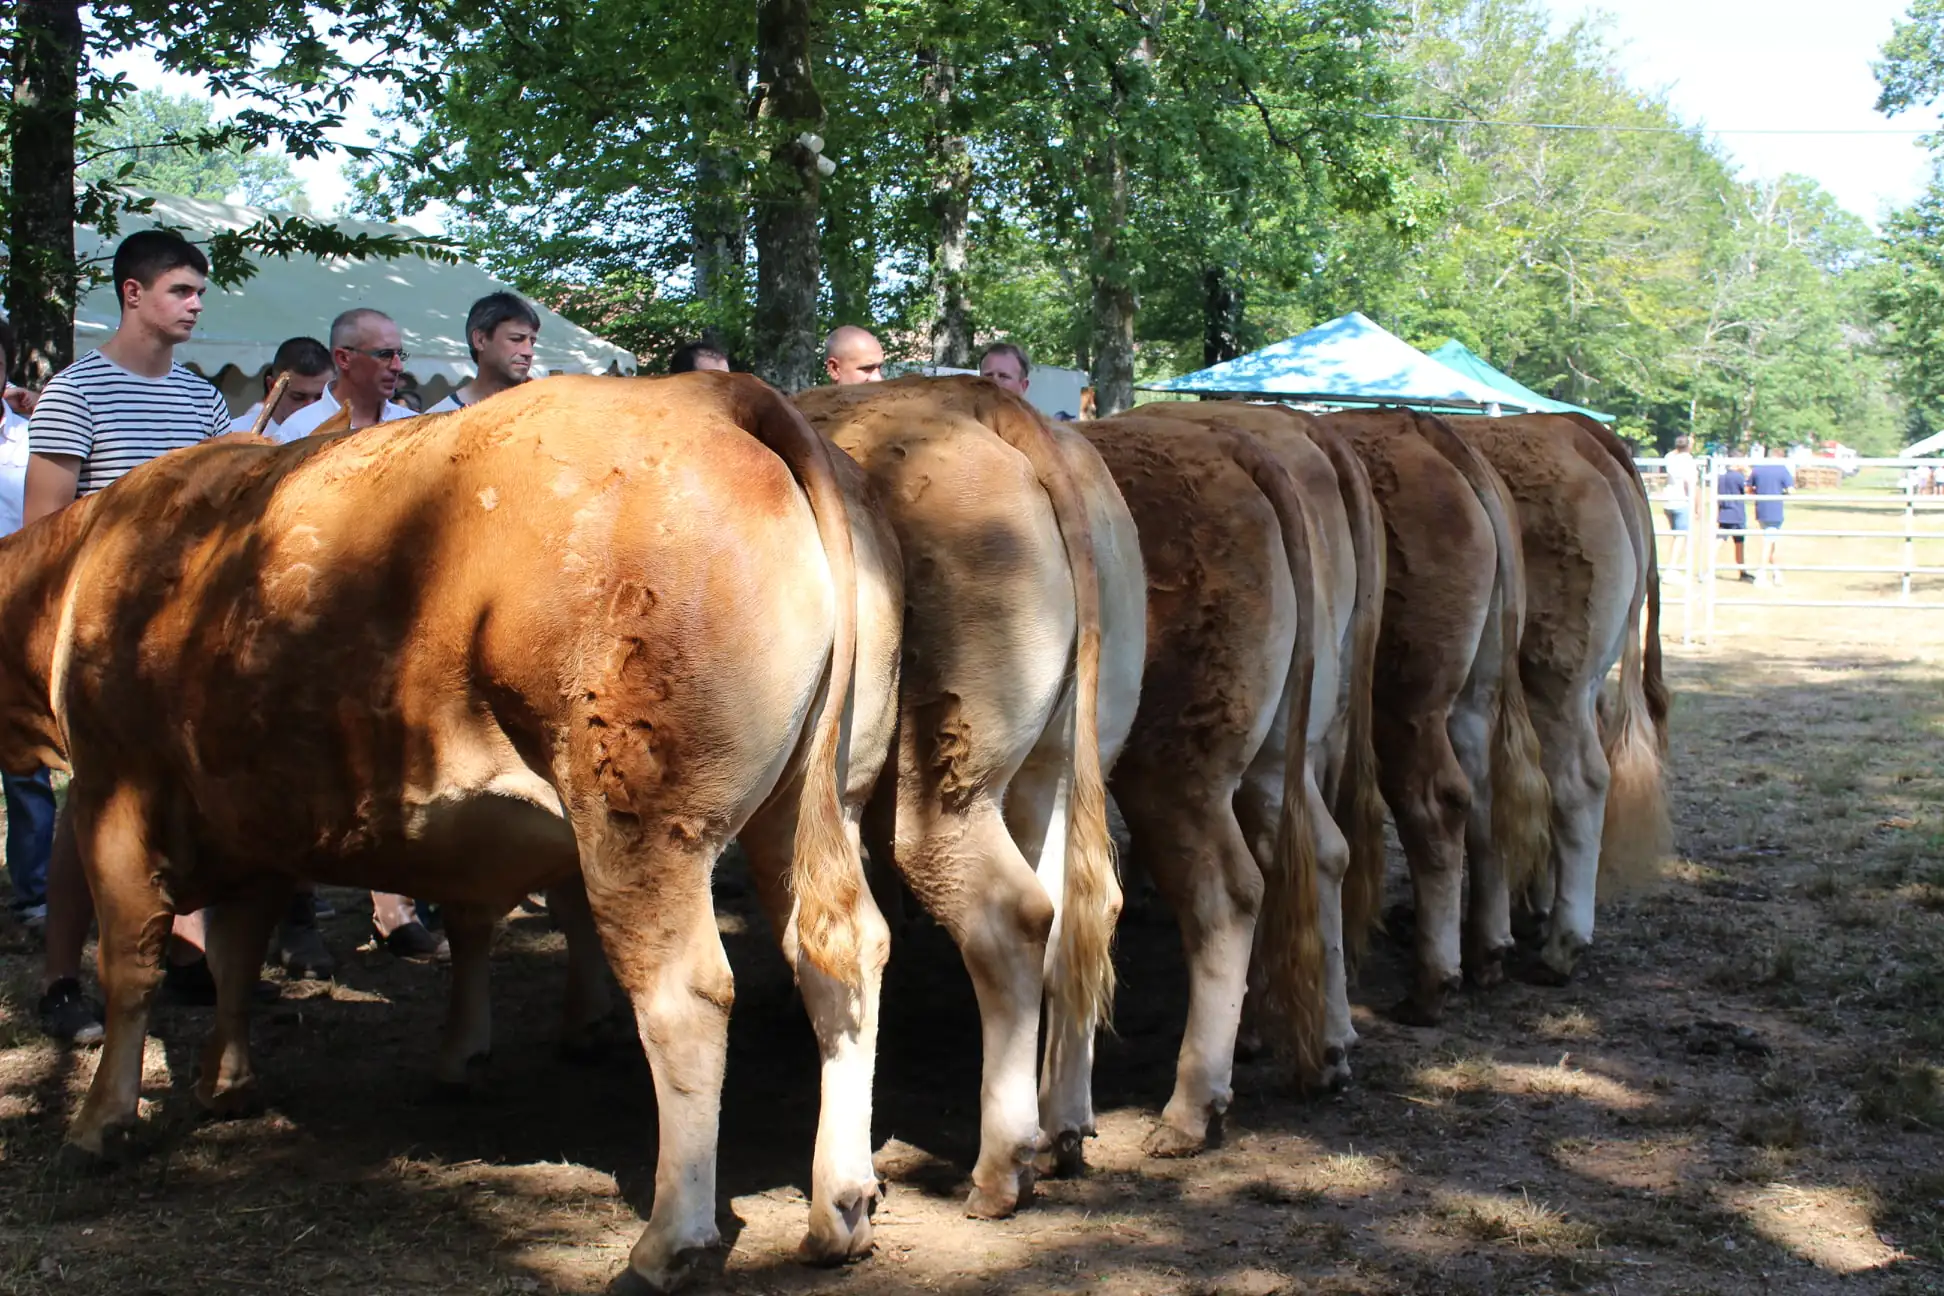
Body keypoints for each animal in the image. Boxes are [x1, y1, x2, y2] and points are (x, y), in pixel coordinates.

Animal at [0, 375, 882, 1296]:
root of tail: (711, 392)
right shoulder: (255, 820)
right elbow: (237, 955)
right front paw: (227, 1083)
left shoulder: (111, 791)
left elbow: (130, 964)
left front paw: (99, 1122)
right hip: (814, 803)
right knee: (841, 950)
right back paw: (840, 1206)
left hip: (641, 825)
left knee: (688, 997)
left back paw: (668, 1242)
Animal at [793, 375, 1143, 1220]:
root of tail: (982, 399)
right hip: (1062, 763)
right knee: (1078, 908)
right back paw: (1064, 1128)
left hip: (941, 789)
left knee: (1010, 918)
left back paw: (999, 1170)